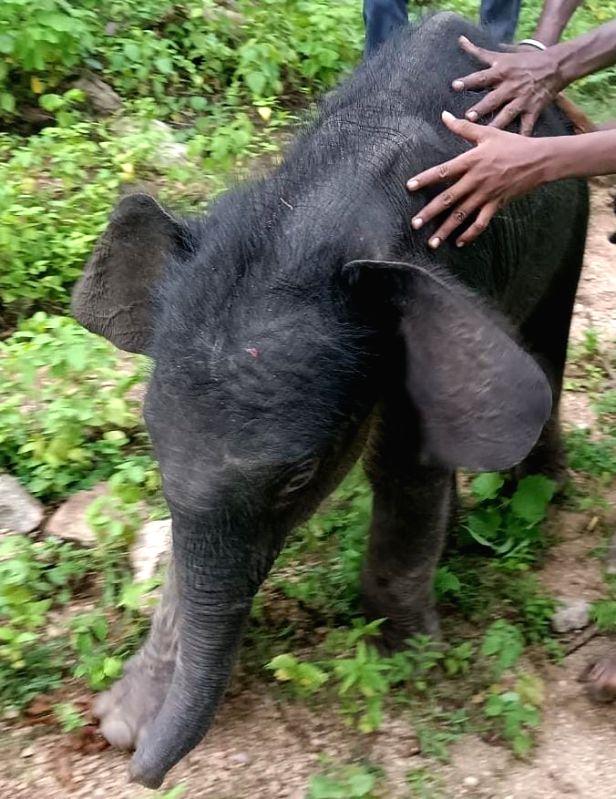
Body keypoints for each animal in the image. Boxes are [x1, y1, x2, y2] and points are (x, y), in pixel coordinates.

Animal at [72, 12, 588, 788]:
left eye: (297, 478)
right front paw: (122, 719)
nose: (144, 775)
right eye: (153, 454)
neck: (304, 219)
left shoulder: (443, 267)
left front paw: (407, 660)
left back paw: (540, 493)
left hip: (573, 213)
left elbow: (405, 465)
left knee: (546, 340)